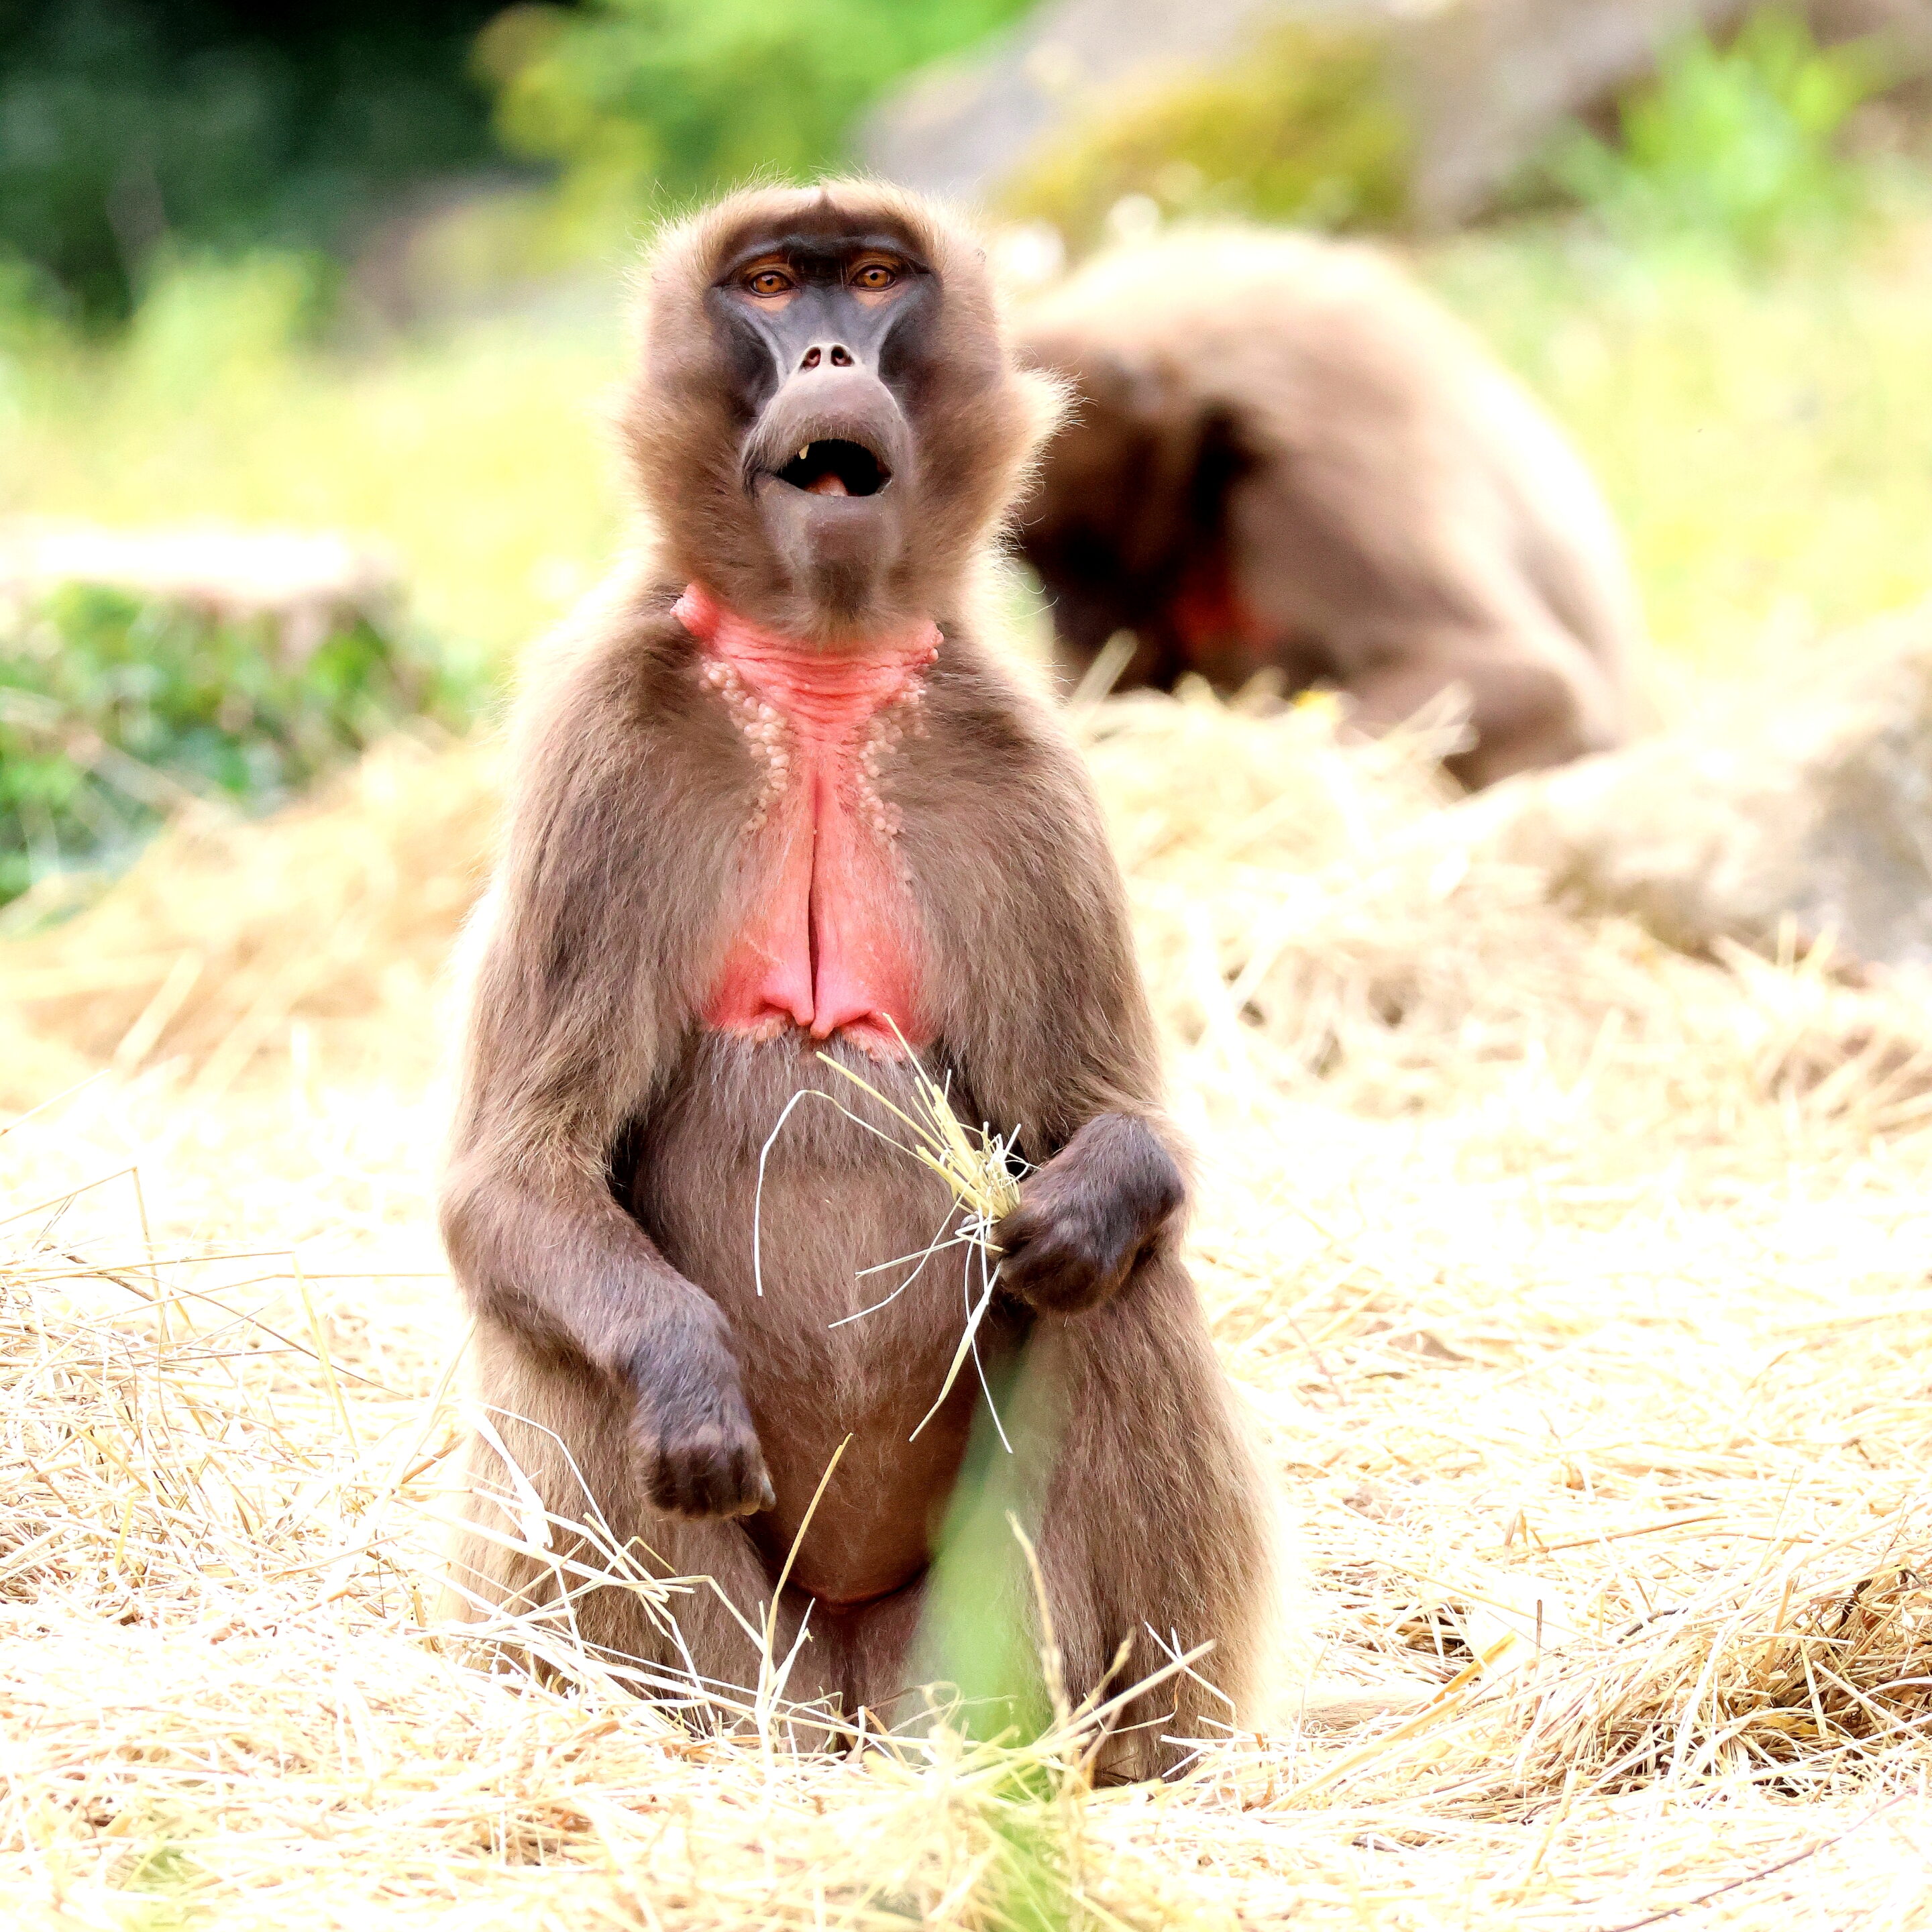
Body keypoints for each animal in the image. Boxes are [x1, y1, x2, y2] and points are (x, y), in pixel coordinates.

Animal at [437, 183, 1278, 1779]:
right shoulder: (605, 748)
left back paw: (1134, 1764)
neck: (820, 671)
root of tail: (846, 1717)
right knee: (570, 1342)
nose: (831, 349)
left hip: (963, 1660)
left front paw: (1073, 1208)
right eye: (770, 287)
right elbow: (516, 1182)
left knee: (1129, 1297)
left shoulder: (1018, 766)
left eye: (879, 278)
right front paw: (686, 1372)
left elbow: (1121, 1136)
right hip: (757, 1664)